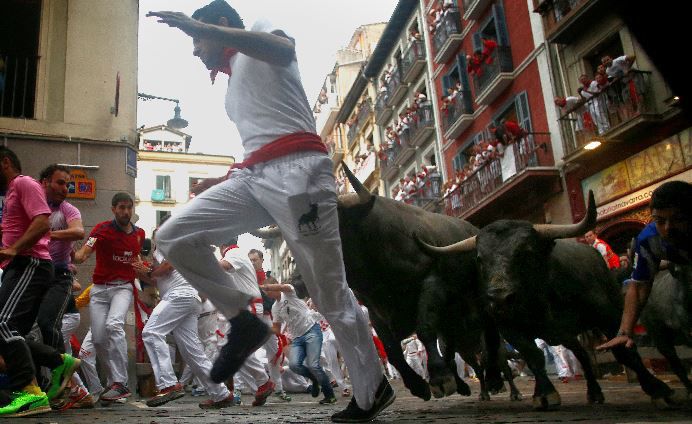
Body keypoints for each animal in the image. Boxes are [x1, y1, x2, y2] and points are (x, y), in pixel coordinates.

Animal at [256, 164, 520, 402]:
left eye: (332, 230)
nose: (297, 281)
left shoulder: (432, 284)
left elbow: (424, 329)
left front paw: (438, 379)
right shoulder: (375, 310)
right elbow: (392, 349)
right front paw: (418, 386)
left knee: (490, 339)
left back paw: (493, 381)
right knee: (453, 347)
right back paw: (464, 383)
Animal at [416, 191, 676, 408]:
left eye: (525, 252)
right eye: (480, 259)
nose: (499, 298)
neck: (539, 299)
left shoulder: (607, 316)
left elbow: (624, 350)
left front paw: (658, 390)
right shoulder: (511, 328)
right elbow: (533, 356)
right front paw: (544, 394)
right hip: (562, 334)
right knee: (580, 354)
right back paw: (592, 392)